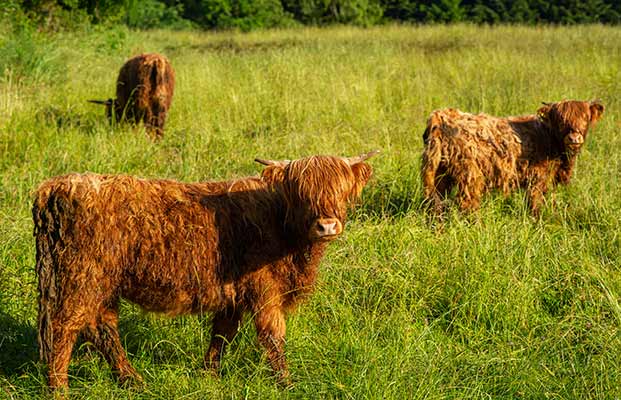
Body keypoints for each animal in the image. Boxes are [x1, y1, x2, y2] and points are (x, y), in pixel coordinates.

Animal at [32, 152, 378, 390]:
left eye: (341, 191)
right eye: (302, 193)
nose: (327, 226)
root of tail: (57, 186)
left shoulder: (234, 294)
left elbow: (222, 334)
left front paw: (209, 374)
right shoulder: (264, 291)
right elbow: (273, 337)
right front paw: (286, 383)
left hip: (104, 284)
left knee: (102, 328)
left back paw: (132, 380)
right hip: (81, 279)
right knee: (64, 329)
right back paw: (59, 388)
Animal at [418, 99, 604, 216]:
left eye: (586, 118)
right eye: (560, 119)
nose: (574, 138)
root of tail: (442, 115)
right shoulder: (537, 179)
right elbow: (535, 205)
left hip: (440, 173)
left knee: (437, 203)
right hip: (470, 174)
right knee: (467, 203)